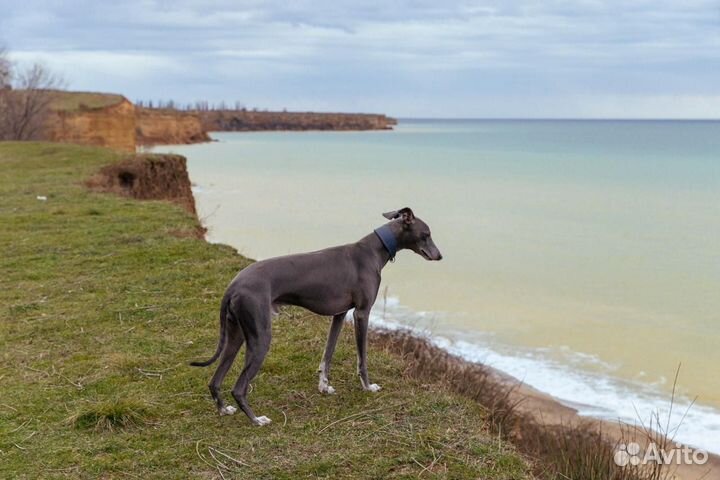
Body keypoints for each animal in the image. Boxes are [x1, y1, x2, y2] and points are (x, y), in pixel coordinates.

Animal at [188, 208, 442, 426]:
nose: (439, 256)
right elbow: (362, 359)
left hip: (236, 334)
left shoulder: (340, 314)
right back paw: (257, 420)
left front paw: (324, 386)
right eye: (426, 234)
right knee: (238, 388)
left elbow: (327, 354)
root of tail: (232, 286)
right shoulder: (362, 313)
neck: (373, 249)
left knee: (214, 380)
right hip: (260, 337)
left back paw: (224, 409)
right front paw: (368, 387)